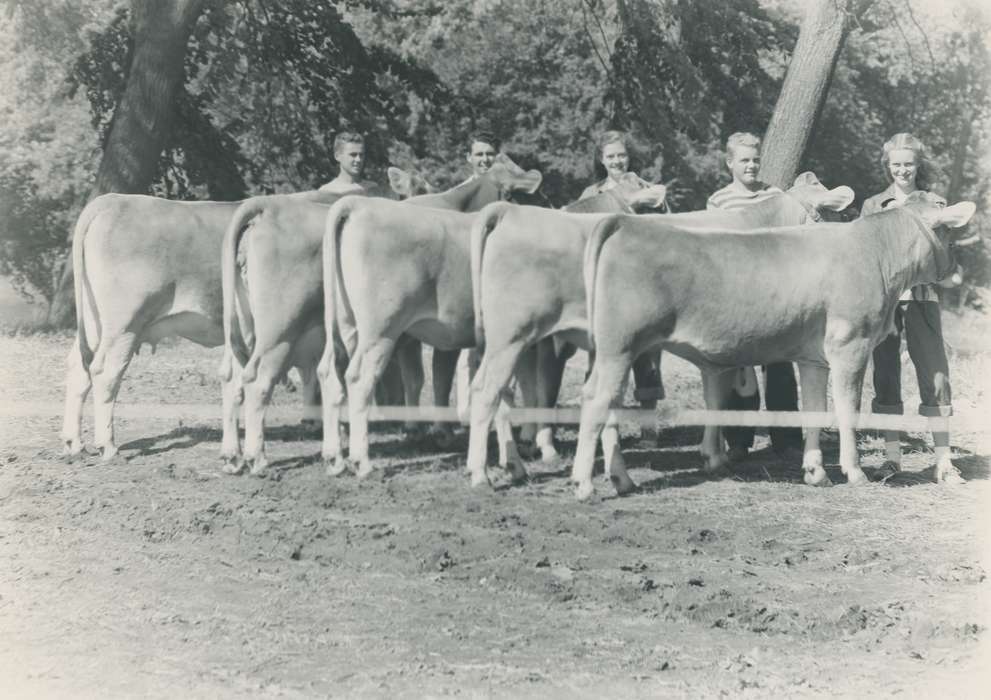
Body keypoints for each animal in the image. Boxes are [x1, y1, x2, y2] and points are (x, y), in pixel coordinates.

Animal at [230, 154, 542, 476]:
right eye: (512, 191)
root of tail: (267, 206)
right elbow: (444, 379)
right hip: (291, 328)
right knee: (267, 379)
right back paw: (268, 458)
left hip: (300, 327)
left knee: (283, 376)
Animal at [465, 173, 856, 488]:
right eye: (834, 211)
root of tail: (508, 212)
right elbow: (725, 387)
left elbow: (713, 393)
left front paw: (712, 454)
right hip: (520, 334)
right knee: (501, 389)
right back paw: (493, 470)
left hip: (517, 340)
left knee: (505, 390)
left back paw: (515, 462)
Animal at [568, 190, 974, 501]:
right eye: (950, 231)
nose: (957, 269)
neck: (875, 253)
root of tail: (625, 223)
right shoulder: (851, 345)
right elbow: (848, 410)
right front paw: (854, 472)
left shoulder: (814, 359)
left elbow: (814, 410)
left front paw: (815, 471)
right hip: (620, 345)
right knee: (598, 401)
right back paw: (586, 485)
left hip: (616, 351)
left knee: (606, 401)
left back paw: (622, 480)